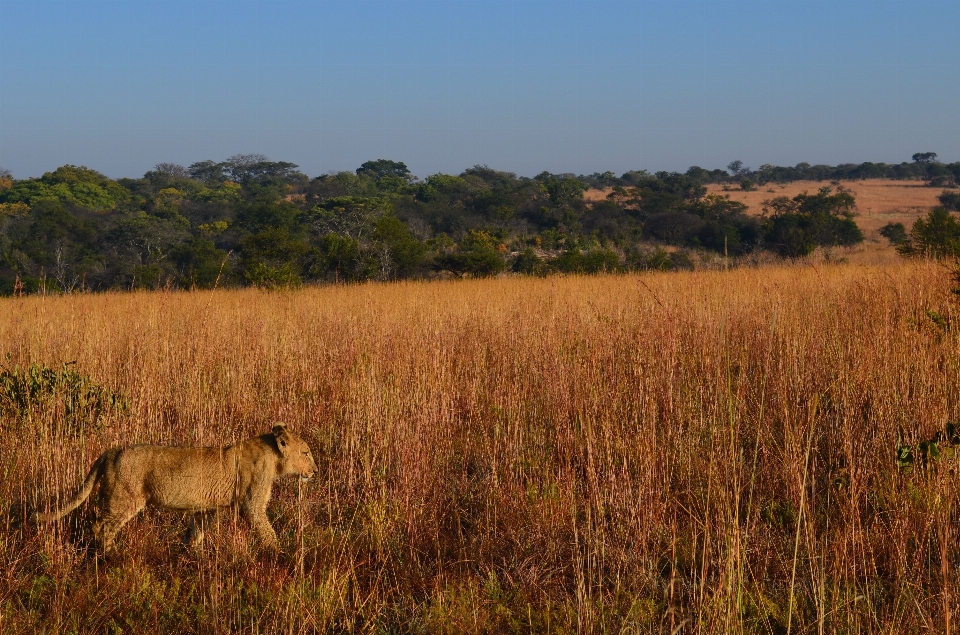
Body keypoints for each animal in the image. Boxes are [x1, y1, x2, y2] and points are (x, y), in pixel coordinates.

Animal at [33, 422, 316, 552]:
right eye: (306, 452)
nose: (315, 471)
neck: (274, 457)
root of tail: (111, 451)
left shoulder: (206, 507)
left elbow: (197, 530)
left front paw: (191, 553)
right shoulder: (252, 503)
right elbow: (267, 531)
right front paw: (280, 554)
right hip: (123, 499)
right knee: (101, 527)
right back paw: (111, 555)